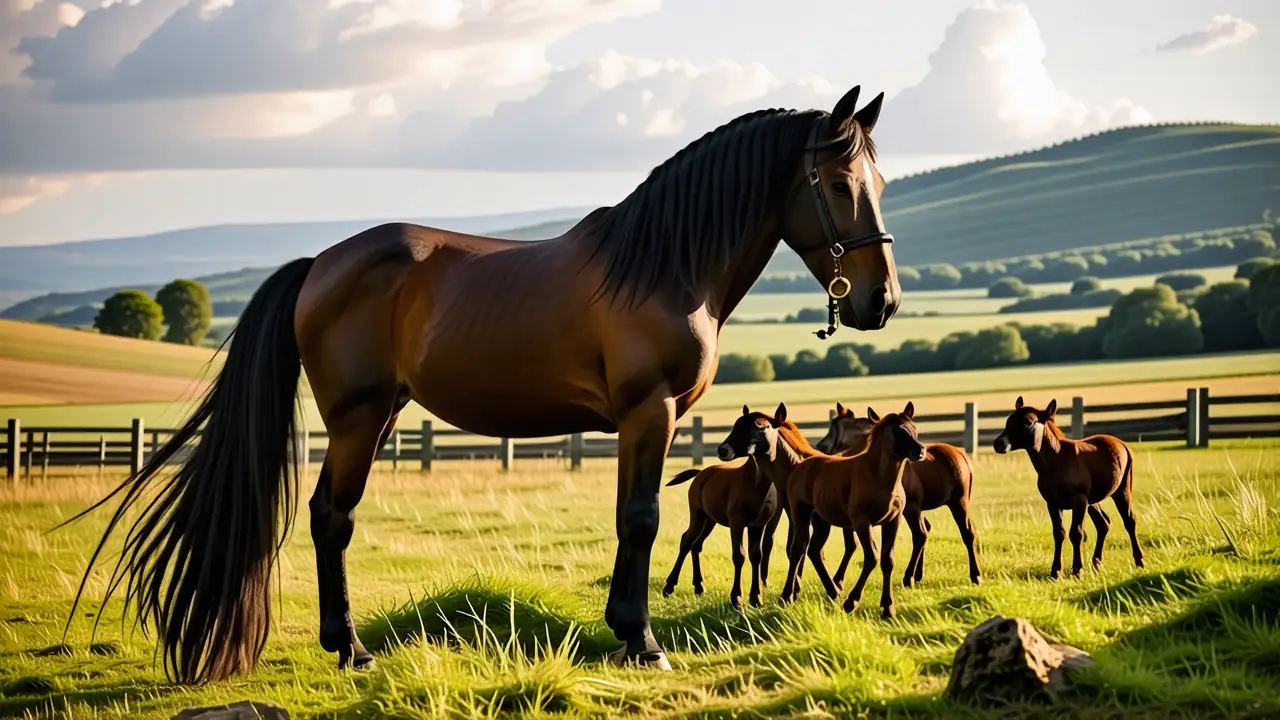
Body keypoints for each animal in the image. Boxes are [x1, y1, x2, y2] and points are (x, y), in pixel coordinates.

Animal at [61, 84, 903, 683]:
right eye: (836, 181)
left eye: (881, 179)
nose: (882, 300)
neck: (664, 267)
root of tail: (320, 265)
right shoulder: (649, 414)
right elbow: (640, 520)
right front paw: (640, 641)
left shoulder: (646, 423)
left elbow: (629, 520)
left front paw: (625, 630)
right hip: (357, 419)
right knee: (332, 516)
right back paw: (352, 649)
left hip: (378, 416)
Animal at [721, 403, 925, 618]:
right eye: (897, 430)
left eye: (913, 428)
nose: (919, 450)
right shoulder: (859, 521)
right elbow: (871, 557)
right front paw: (851, 601)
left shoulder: (892, 520)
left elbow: (886, 559)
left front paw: (887, 607)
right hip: (805, 513)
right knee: (802, 547)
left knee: (811, 549)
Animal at [820, 402, 982, 587]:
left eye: (834, 427)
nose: (822, 446)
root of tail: (962, 455)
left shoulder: (908, 508)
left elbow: (852, 544)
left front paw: (838, 579)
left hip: (956, 503)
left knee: (962, 534)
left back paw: (973, 575)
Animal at [993, 396, 1145, 580]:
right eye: (1008, 421)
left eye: (1028, 422)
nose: (999, 444)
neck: (1056, 462)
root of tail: (1122, 444)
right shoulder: (1053, 503)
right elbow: (1059, 533)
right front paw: (1055, 572)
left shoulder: (1079, 501)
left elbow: (1076, 533)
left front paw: (1077, 570)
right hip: (1092, 501)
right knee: (1103, 523)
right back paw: (1096, 563)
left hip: (1121, 490)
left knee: (1129, 520)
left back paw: (1139, 561)